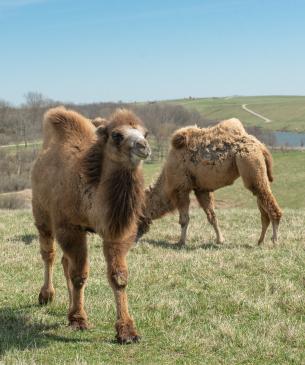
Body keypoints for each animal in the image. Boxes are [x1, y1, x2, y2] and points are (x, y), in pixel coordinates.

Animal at [31, 104, 150, 342]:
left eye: (145, 133)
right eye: (116, 135)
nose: (143, 146)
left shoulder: (115, 231)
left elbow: (118, 277)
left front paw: (127, 331)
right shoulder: (69, 227)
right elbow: (79, 274)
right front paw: (79, 320)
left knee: (65, 262)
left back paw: (68, 304)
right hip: (42, 215)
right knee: (49, 254)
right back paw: (46, 295)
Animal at [137, 118, 282, 246]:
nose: (135, 238)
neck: (167, 182)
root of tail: (261, 146)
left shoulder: (181, 188)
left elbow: (184, 220)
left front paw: (181, 242)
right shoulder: (201, 189)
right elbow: (212, 216)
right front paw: (220, 240)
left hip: (249, 162)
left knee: (268, 204)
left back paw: (274, 240)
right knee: (263, 207)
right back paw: (260, 241)